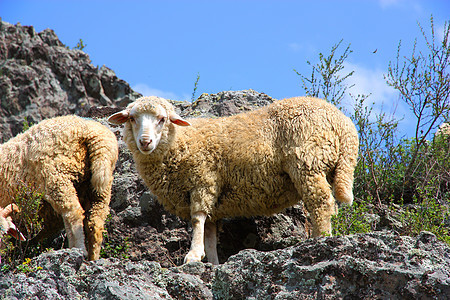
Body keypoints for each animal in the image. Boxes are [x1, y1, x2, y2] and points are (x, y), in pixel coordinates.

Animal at [0, 115, 118, 260]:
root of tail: (89, 130)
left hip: (57, 176)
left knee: (73, 213)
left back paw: (77, 249)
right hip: (99, 184)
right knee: (95, 221)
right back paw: (93, 257)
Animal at [108, 95, 358, 264]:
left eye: (162, 119)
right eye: (132, 118)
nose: (145, 142)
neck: (180, 143)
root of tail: (344, 123)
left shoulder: (204, 181)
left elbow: (197, 219)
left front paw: (193, 255)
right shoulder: (213, 200)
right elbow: (210, 234)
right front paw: (212, 262)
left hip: (308, 161)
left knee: (321, 203)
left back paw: (320, 240)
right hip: (327, 164)